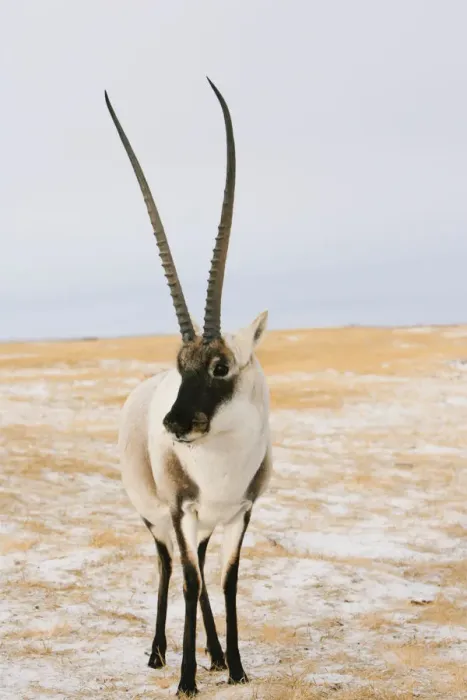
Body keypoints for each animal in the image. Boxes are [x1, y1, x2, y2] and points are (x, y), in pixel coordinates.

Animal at [105, 78, 272, 696]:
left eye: (220, 366)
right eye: (181, 365)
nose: (176, 425)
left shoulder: (241, 512)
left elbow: (226, 582)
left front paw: (238, 668)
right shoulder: (179, 512)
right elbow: (192, 582)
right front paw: (185, 680)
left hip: (205, 524)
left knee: (197, 568)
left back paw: (217, 655)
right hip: (155, 517)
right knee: (169, 565)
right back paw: (158, 653)